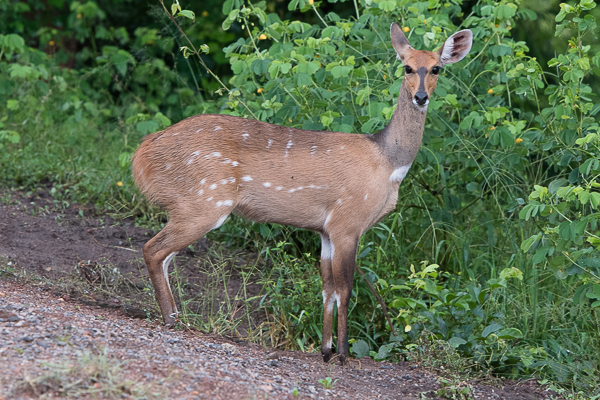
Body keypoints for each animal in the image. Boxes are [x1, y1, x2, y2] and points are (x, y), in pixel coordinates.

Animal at [132, 23, 474, 364]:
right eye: (407, 67)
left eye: (437, 68)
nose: (421, 97)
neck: (388, 162)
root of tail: (141, 156)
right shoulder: (347, 223)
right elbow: (345, 289)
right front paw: (343, 354)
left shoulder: (325, 230)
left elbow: (326, 288)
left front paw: (325, 350)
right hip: (204, 201)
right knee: (152, 249)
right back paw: (171, 319)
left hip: (190, 204)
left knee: (164, 255)